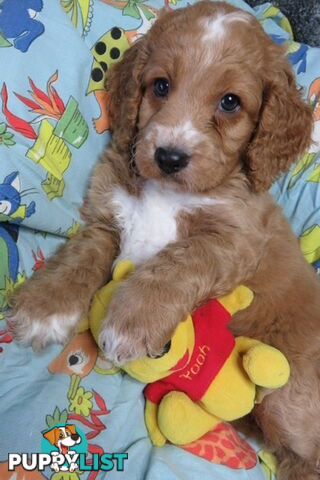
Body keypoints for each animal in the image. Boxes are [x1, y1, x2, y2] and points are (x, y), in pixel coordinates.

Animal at [8, 1, 318, 478]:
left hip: (288, 397)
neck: (168, 192)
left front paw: (132, 320)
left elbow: (180, 261)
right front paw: (46, 307)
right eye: (160, 86)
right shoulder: (108, 217)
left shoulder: (236, 240)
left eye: (230, 102)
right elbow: (82, 256)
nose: (170, 156)